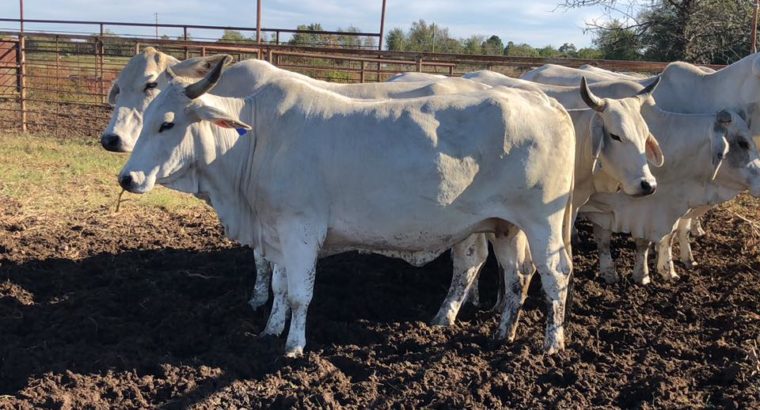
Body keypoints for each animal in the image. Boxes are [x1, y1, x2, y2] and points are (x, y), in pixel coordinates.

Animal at [118, 59, 578, 356]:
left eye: (168, 123)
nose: (127, 178)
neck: (258, 138)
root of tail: (545, 102)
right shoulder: (276, 231)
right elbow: (280, 288)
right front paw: (270, 329)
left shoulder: (301, 228)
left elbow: (301, 294)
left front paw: (294, 345)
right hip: (503, 224)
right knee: (514, 275)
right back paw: (502, 333)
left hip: (542, 221)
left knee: (555, 274)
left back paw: (552, 345)